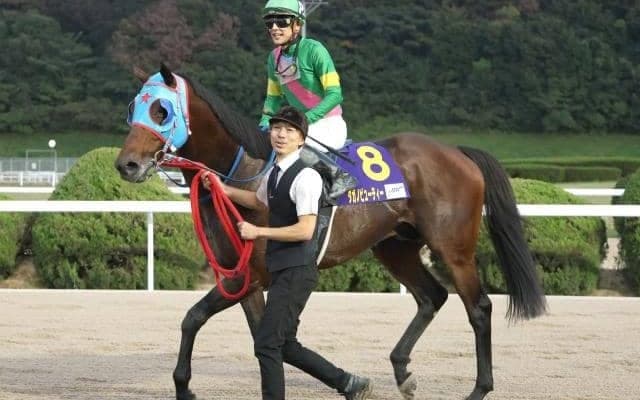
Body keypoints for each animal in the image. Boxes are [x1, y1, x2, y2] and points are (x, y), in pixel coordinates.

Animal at [115, 64, 546, 400]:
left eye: (161, 110)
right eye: (133, 108)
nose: (126, 164)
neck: (244, 172)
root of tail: (457, 151)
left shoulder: (250, 274)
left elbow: (196, 318)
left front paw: (184, 385)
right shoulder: (244, 277)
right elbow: (256, 336)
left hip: (452, 248)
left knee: (478, 307)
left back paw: (479, 388)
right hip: (395, 246)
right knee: (431, 296)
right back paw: (403, 371)